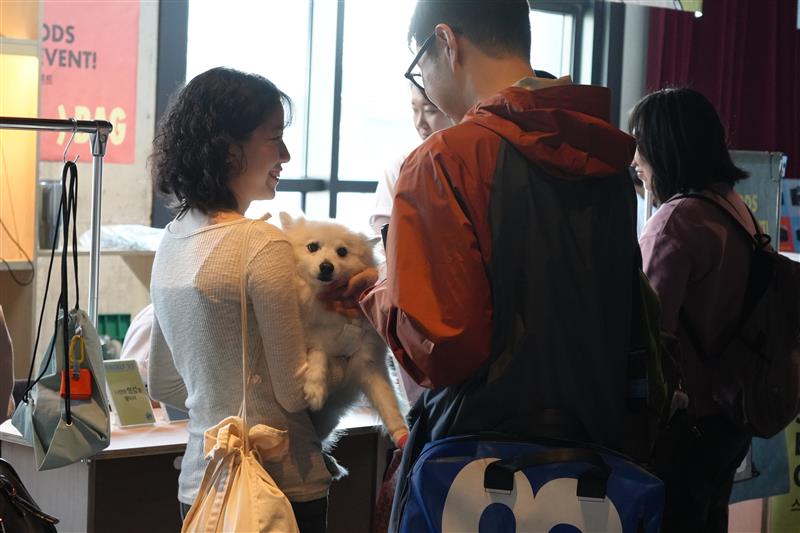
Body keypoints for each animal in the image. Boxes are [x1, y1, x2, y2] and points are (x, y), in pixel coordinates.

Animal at [278, 212, 409, 449]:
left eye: (342, 252)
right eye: (312, 247)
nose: (326, 266)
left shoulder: (369, 365)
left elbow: (389, 405)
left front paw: (402, 435)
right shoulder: (313, 340)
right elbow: (318, 354)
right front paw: (315, 389)